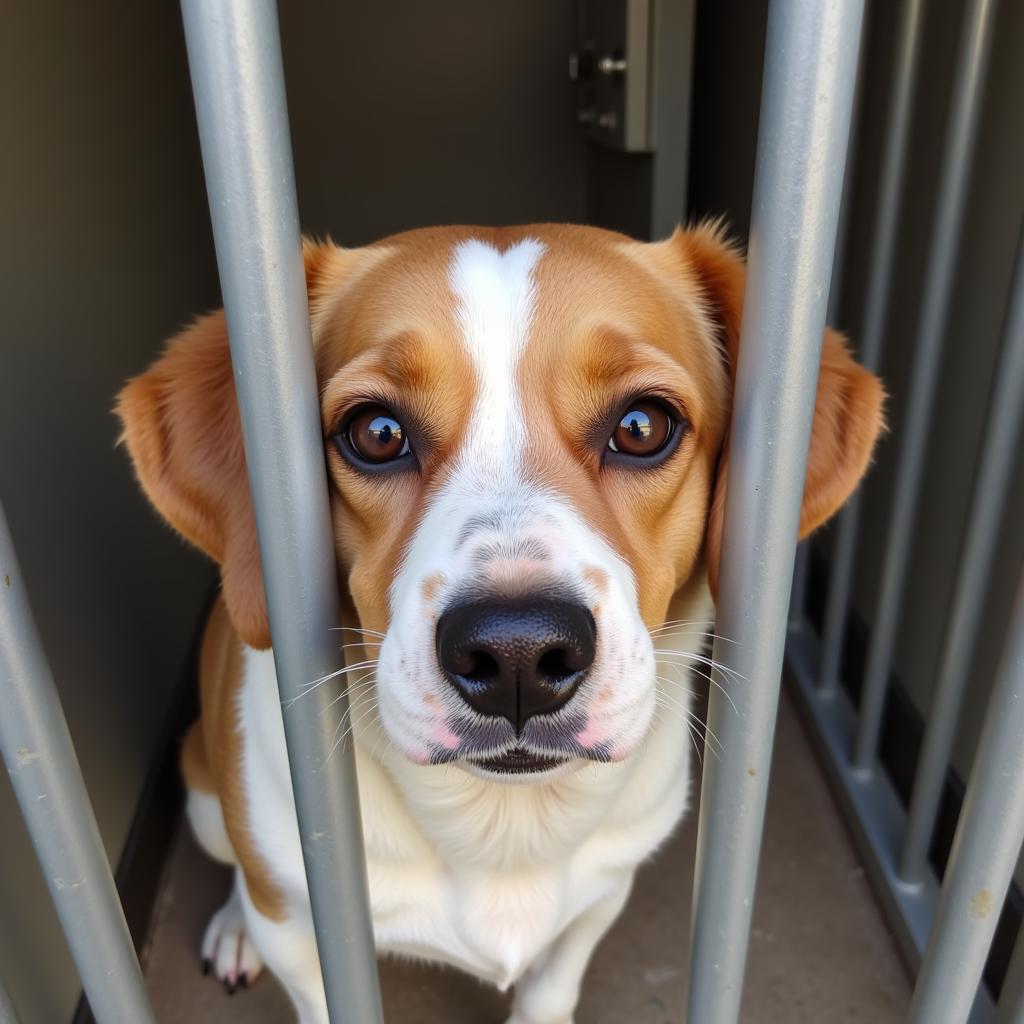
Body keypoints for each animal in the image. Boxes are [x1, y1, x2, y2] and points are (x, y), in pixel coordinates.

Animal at [116, 224, 884, 1024]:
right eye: (376, 432)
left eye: (643, 426)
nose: (518, 652)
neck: (506, 826)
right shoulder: (302, 935)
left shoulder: (602, 896)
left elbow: (551, 987)